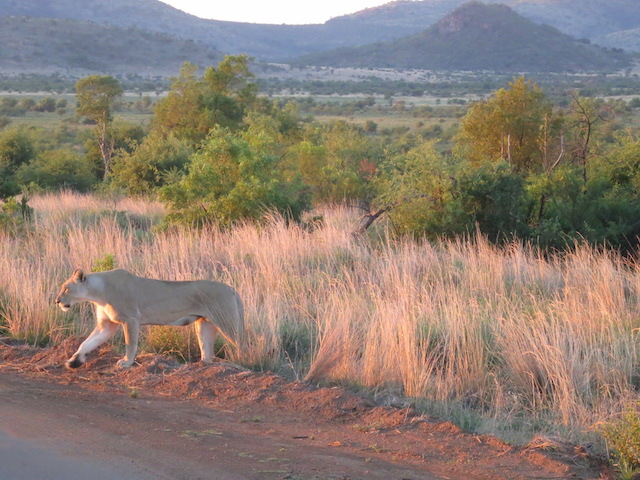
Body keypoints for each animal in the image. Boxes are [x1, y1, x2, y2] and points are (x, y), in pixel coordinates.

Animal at [54, 268, 245, 370]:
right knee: (207, 351)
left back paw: (243, 364)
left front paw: (127, 362)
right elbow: (86, 343)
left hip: (226, 321)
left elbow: (130, 343)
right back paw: (205, 364)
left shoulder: (130, 319)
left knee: (242, 343)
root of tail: (231, 288)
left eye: (66, 288)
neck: (96, 293)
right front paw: (74, 361)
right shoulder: (106, 326)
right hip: (204, 324)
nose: (57, 301)